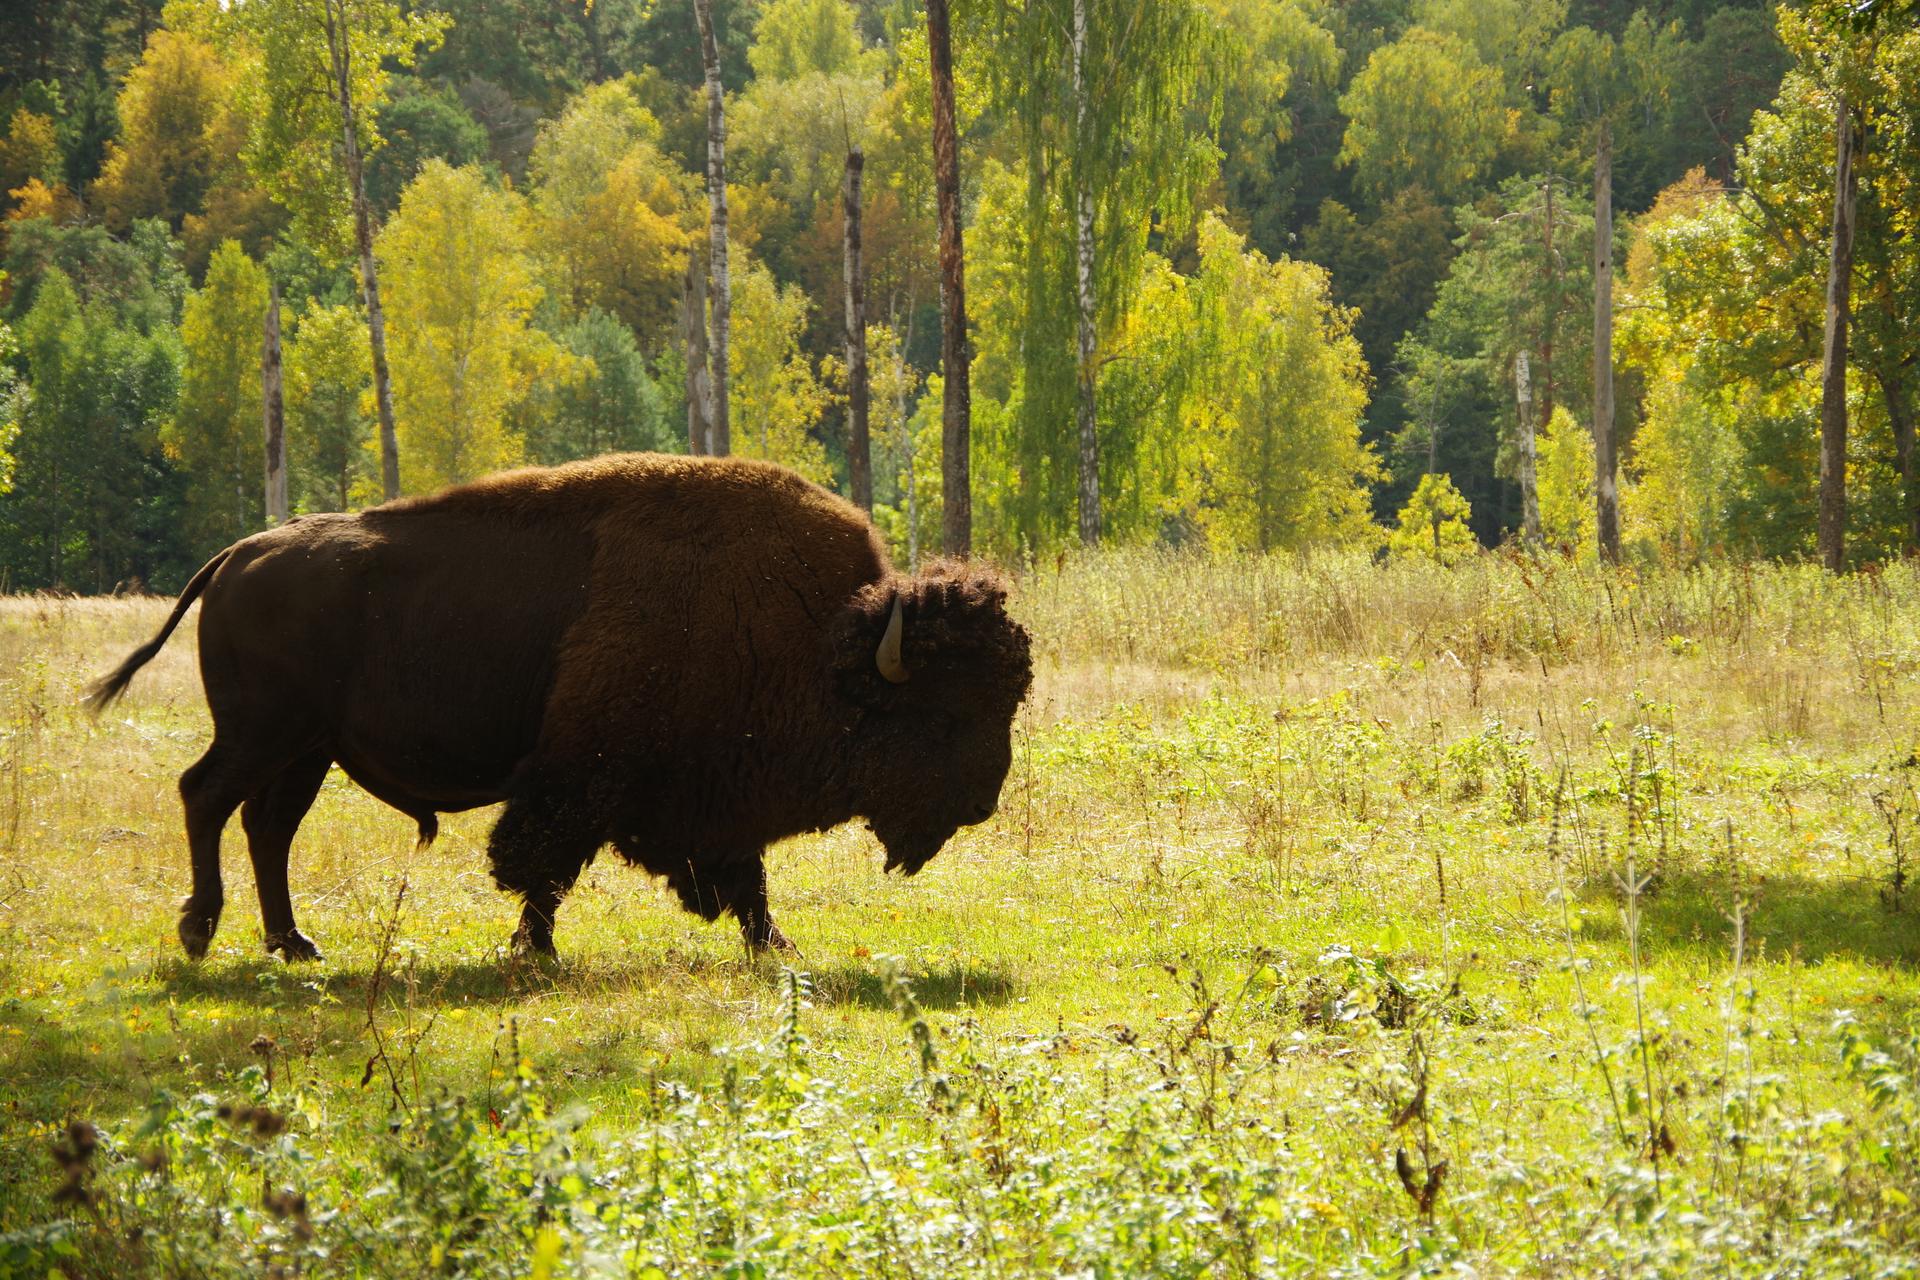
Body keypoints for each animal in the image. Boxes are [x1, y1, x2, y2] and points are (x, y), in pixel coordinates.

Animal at [86, 452, 1036, 959]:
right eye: (945, 714)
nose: (983, 803)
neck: (825, 639)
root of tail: (237, 556)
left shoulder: (717, 799)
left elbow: (745, 875)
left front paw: (774, 944)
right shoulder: (581, 777)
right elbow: (540, 863)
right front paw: (535, 949)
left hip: (307, 750)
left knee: (267, 826)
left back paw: (294, 943)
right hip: (263, 733)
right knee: (207, 797)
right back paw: (201, 931)